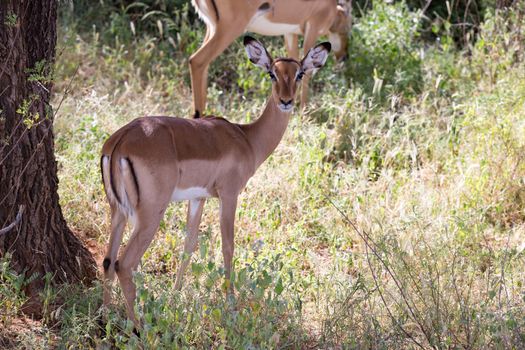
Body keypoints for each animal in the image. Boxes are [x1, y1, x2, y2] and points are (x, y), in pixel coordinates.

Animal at [99, 36, 328, 328]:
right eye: (272, 73)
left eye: (299, 74)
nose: (286, 101)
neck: (246, 138)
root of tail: (120, 141)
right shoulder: (229, 195)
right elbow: (228, 246)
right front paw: (231, 306)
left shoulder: (198, 198)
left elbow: (188, 245)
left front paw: (174, 297)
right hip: (150, 213)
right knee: (124, 264)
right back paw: (137, 328)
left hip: (117, 211)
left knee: (108, 261)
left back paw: (104, 318)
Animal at [188, 0, 348, 117]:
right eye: (346, 27)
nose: (344, 57)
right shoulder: (312, 29)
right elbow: (307, 71)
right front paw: (304, 112)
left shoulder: (289, 33)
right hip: (229, 29)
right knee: (196, 60)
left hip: (212, 28)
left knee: (204, 65)